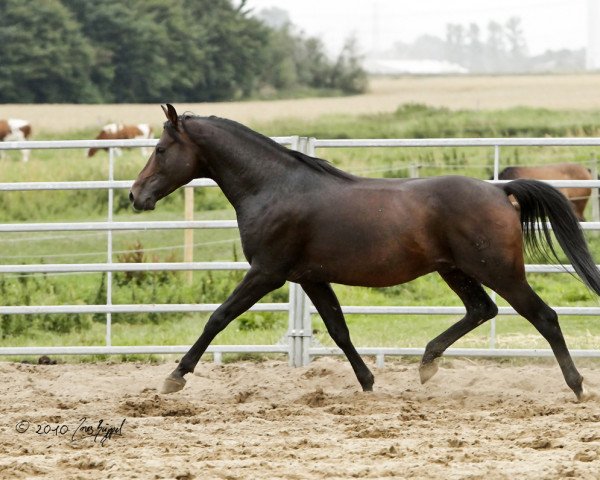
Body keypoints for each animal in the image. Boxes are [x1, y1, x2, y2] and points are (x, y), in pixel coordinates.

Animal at [130, 105, 600, 402]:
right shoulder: (310, 277)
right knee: (481, 310)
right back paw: (427, 364)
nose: (136, 195)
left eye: (160, 150)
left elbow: (218, 317)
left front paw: (174, 377)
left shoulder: (267, 272)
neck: (273, 188)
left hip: (499, 271)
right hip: (455, 270)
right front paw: (369, 383)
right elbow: (339, 330)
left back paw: (577, 386)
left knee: (543, 316)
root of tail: (500, 191)